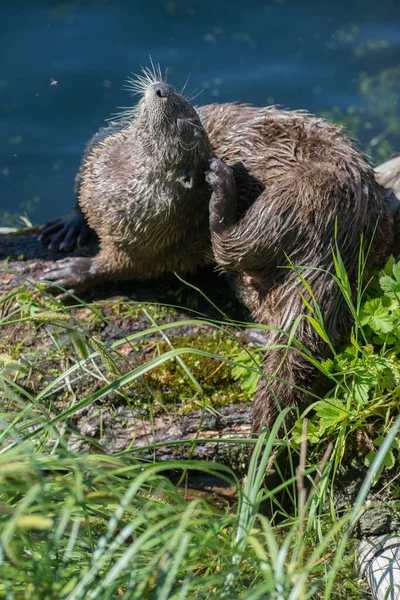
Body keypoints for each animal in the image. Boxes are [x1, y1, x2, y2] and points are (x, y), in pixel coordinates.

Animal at [38, 75, 394, 434]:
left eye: (182, 122)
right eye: (183, 105)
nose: (161, 89)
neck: (118, 192)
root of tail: (350, 232)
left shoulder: (154, 241)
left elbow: (123, 266)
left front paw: (74, 272)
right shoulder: (100, 158)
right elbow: (84, 171)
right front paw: (70, 224)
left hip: (302, 194)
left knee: (233, 247)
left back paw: (222, 192)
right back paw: (258, 335)